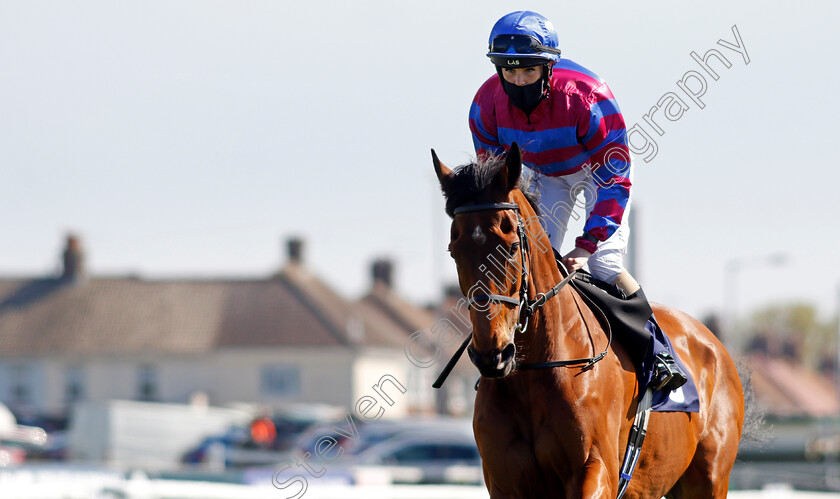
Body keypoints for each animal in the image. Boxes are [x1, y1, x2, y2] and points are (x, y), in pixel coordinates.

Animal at [434, 143, 740, 498]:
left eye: (510, 247)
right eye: (454, 250)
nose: (492, 355)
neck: (534, 369)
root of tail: (713, 342)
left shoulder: (595, 469)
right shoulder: (503, 480)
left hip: (709, 476)